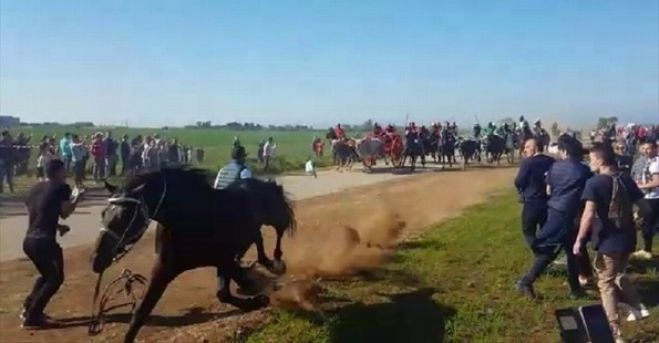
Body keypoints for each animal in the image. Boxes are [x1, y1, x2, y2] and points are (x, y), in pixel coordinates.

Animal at [92, 167, 296, 342]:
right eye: (103, 213)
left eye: (126, 215)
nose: (97, 260)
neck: (193, 219)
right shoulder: (163, 270)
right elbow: (141, 313)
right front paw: (253, 290)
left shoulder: (223, 259)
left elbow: (225, 291)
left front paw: (259, 298)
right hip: (252, 230)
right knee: (258, 239)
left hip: (276, 218)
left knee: (278, 234)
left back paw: (276, 263)